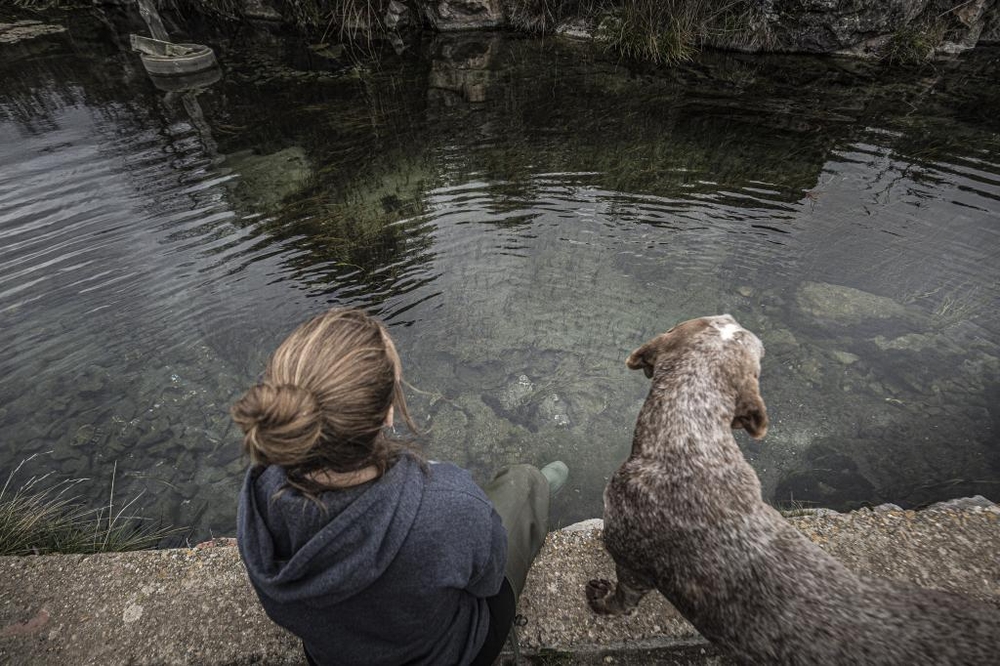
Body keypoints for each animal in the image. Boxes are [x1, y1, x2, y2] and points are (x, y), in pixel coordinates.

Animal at [584, 314, 1000, 660]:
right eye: (720, 320)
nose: (739, 317)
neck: (689, 439)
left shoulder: (629, 561)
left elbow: (620, 600)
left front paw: (599, 600)